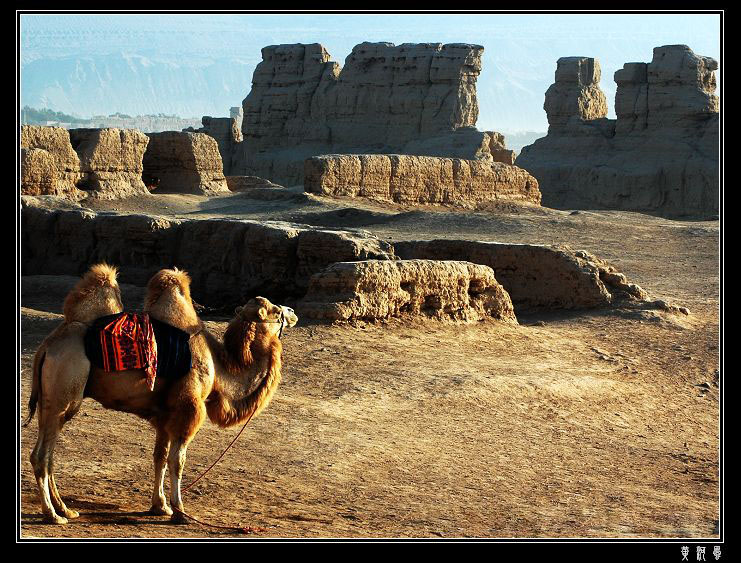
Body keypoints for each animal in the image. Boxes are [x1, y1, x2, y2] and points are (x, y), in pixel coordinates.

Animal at [26, 266, 298, 528]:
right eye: (275, 312)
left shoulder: (165, 415)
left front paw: (160, 506)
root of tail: (47, 346)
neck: (219, 368)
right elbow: (178, 460)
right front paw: (180, 511)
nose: (292, 311)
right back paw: (53, 515)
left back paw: (66, 509)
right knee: (41, 455)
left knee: (49, 454)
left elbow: (160, 457)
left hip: (49, 400)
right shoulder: (189, 409)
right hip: (64, 392)